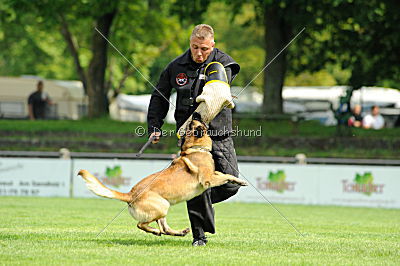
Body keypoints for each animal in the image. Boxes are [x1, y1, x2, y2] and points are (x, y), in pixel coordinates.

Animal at [77, 115, 247, 236]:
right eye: (196, 123)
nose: (196, 114)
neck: (195, 148)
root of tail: (130, 194)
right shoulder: (208, 179)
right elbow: (225, 177)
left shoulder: (214, 174)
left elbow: (226, 174)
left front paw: (239, 181)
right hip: (162, 206)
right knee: (142, 225)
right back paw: (155, 231)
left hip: (163, 208)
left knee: (164, 228)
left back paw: (179, 232)